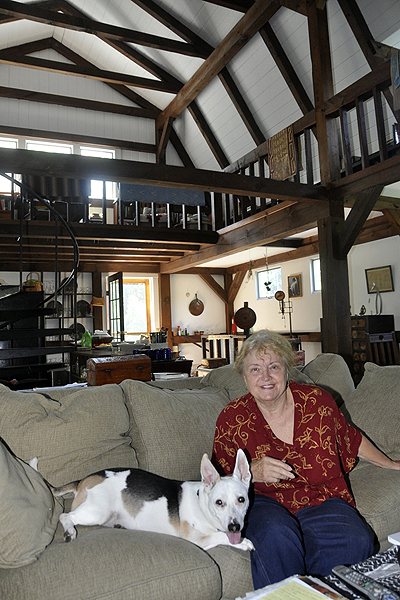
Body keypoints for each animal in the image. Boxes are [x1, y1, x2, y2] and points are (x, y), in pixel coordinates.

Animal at [52, 450, 253, 552]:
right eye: (219, 502)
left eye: (241, 499)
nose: (234, 527)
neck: (202, 505)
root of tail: (82, 481)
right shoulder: (196, 539)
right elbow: (221, 536)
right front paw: (244, 542)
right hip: (98, 512)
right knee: (65, 516)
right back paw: (70, 531)